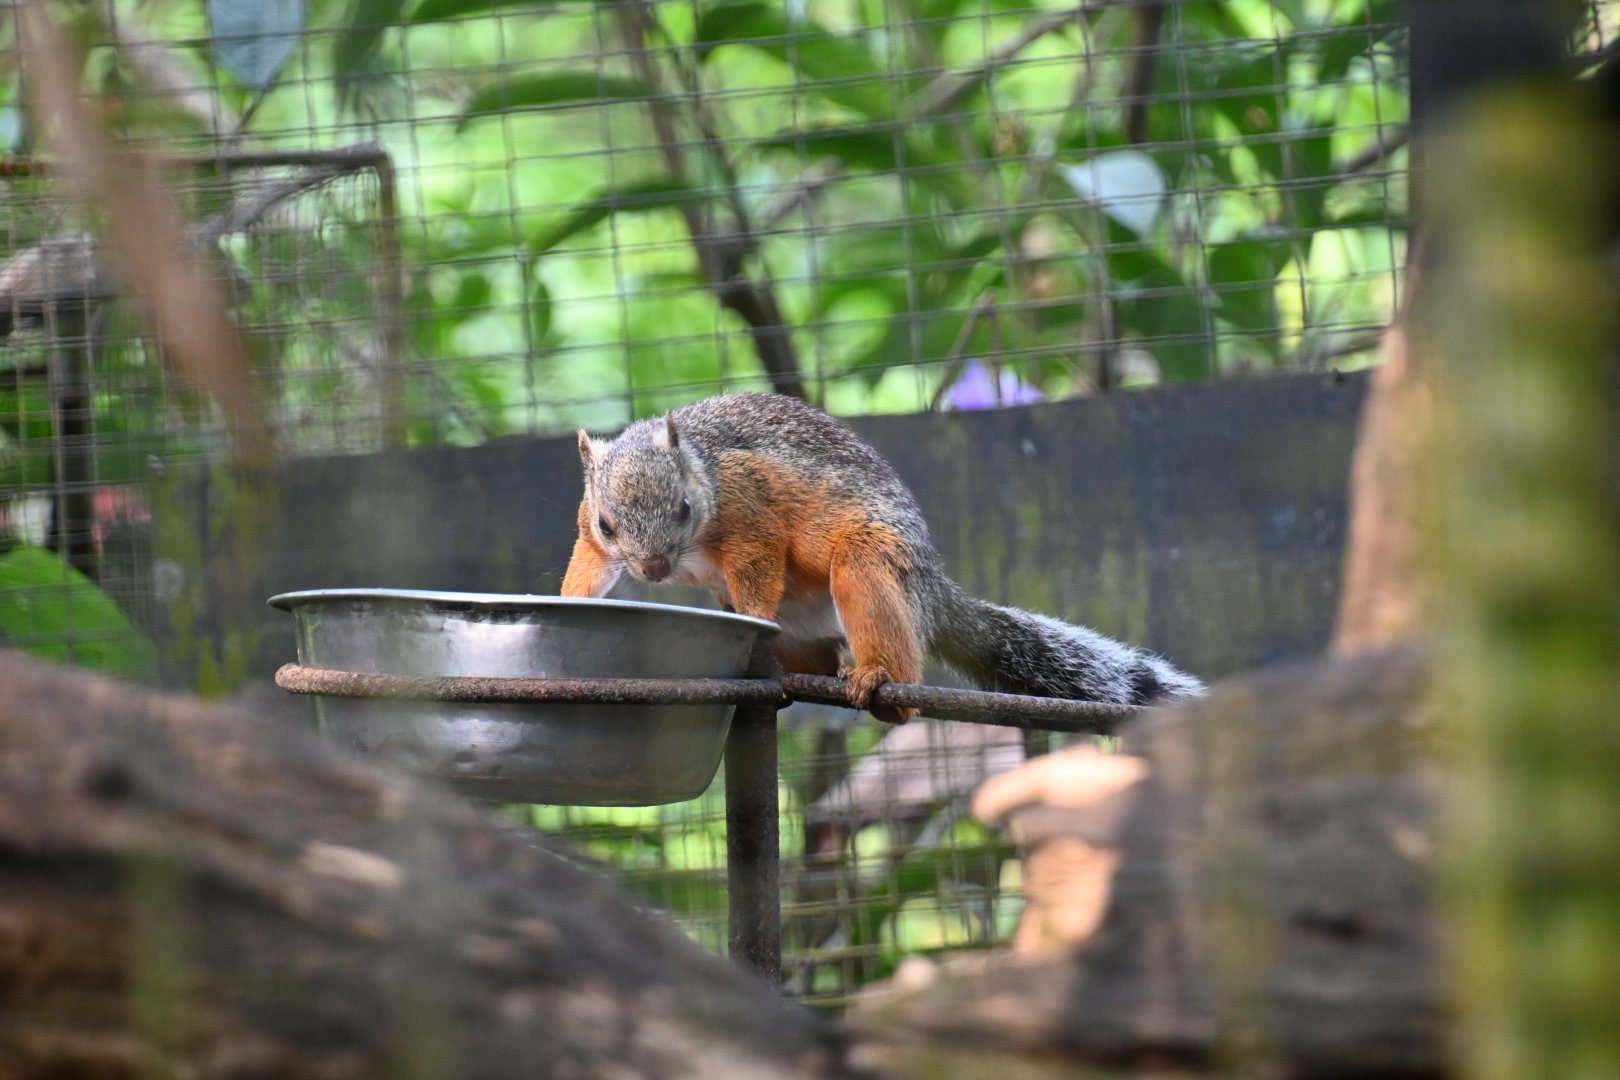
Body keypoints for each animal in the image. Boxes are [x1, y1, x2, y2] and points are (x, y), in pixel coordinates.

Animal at [561, 393, 1204, 722]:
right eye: (607, 523)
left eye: (685, 509)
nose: (651, 571)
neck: (702, 464)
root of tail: (932, 592)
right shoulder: (590, 532)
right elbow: (587, 568)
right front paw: (568, 602)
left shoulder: (751, 509)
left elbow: (759, 564)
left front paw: (751, 616)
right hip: (806, 638)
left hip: (871, 563)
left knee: (886, 642)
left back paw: (875, 677)